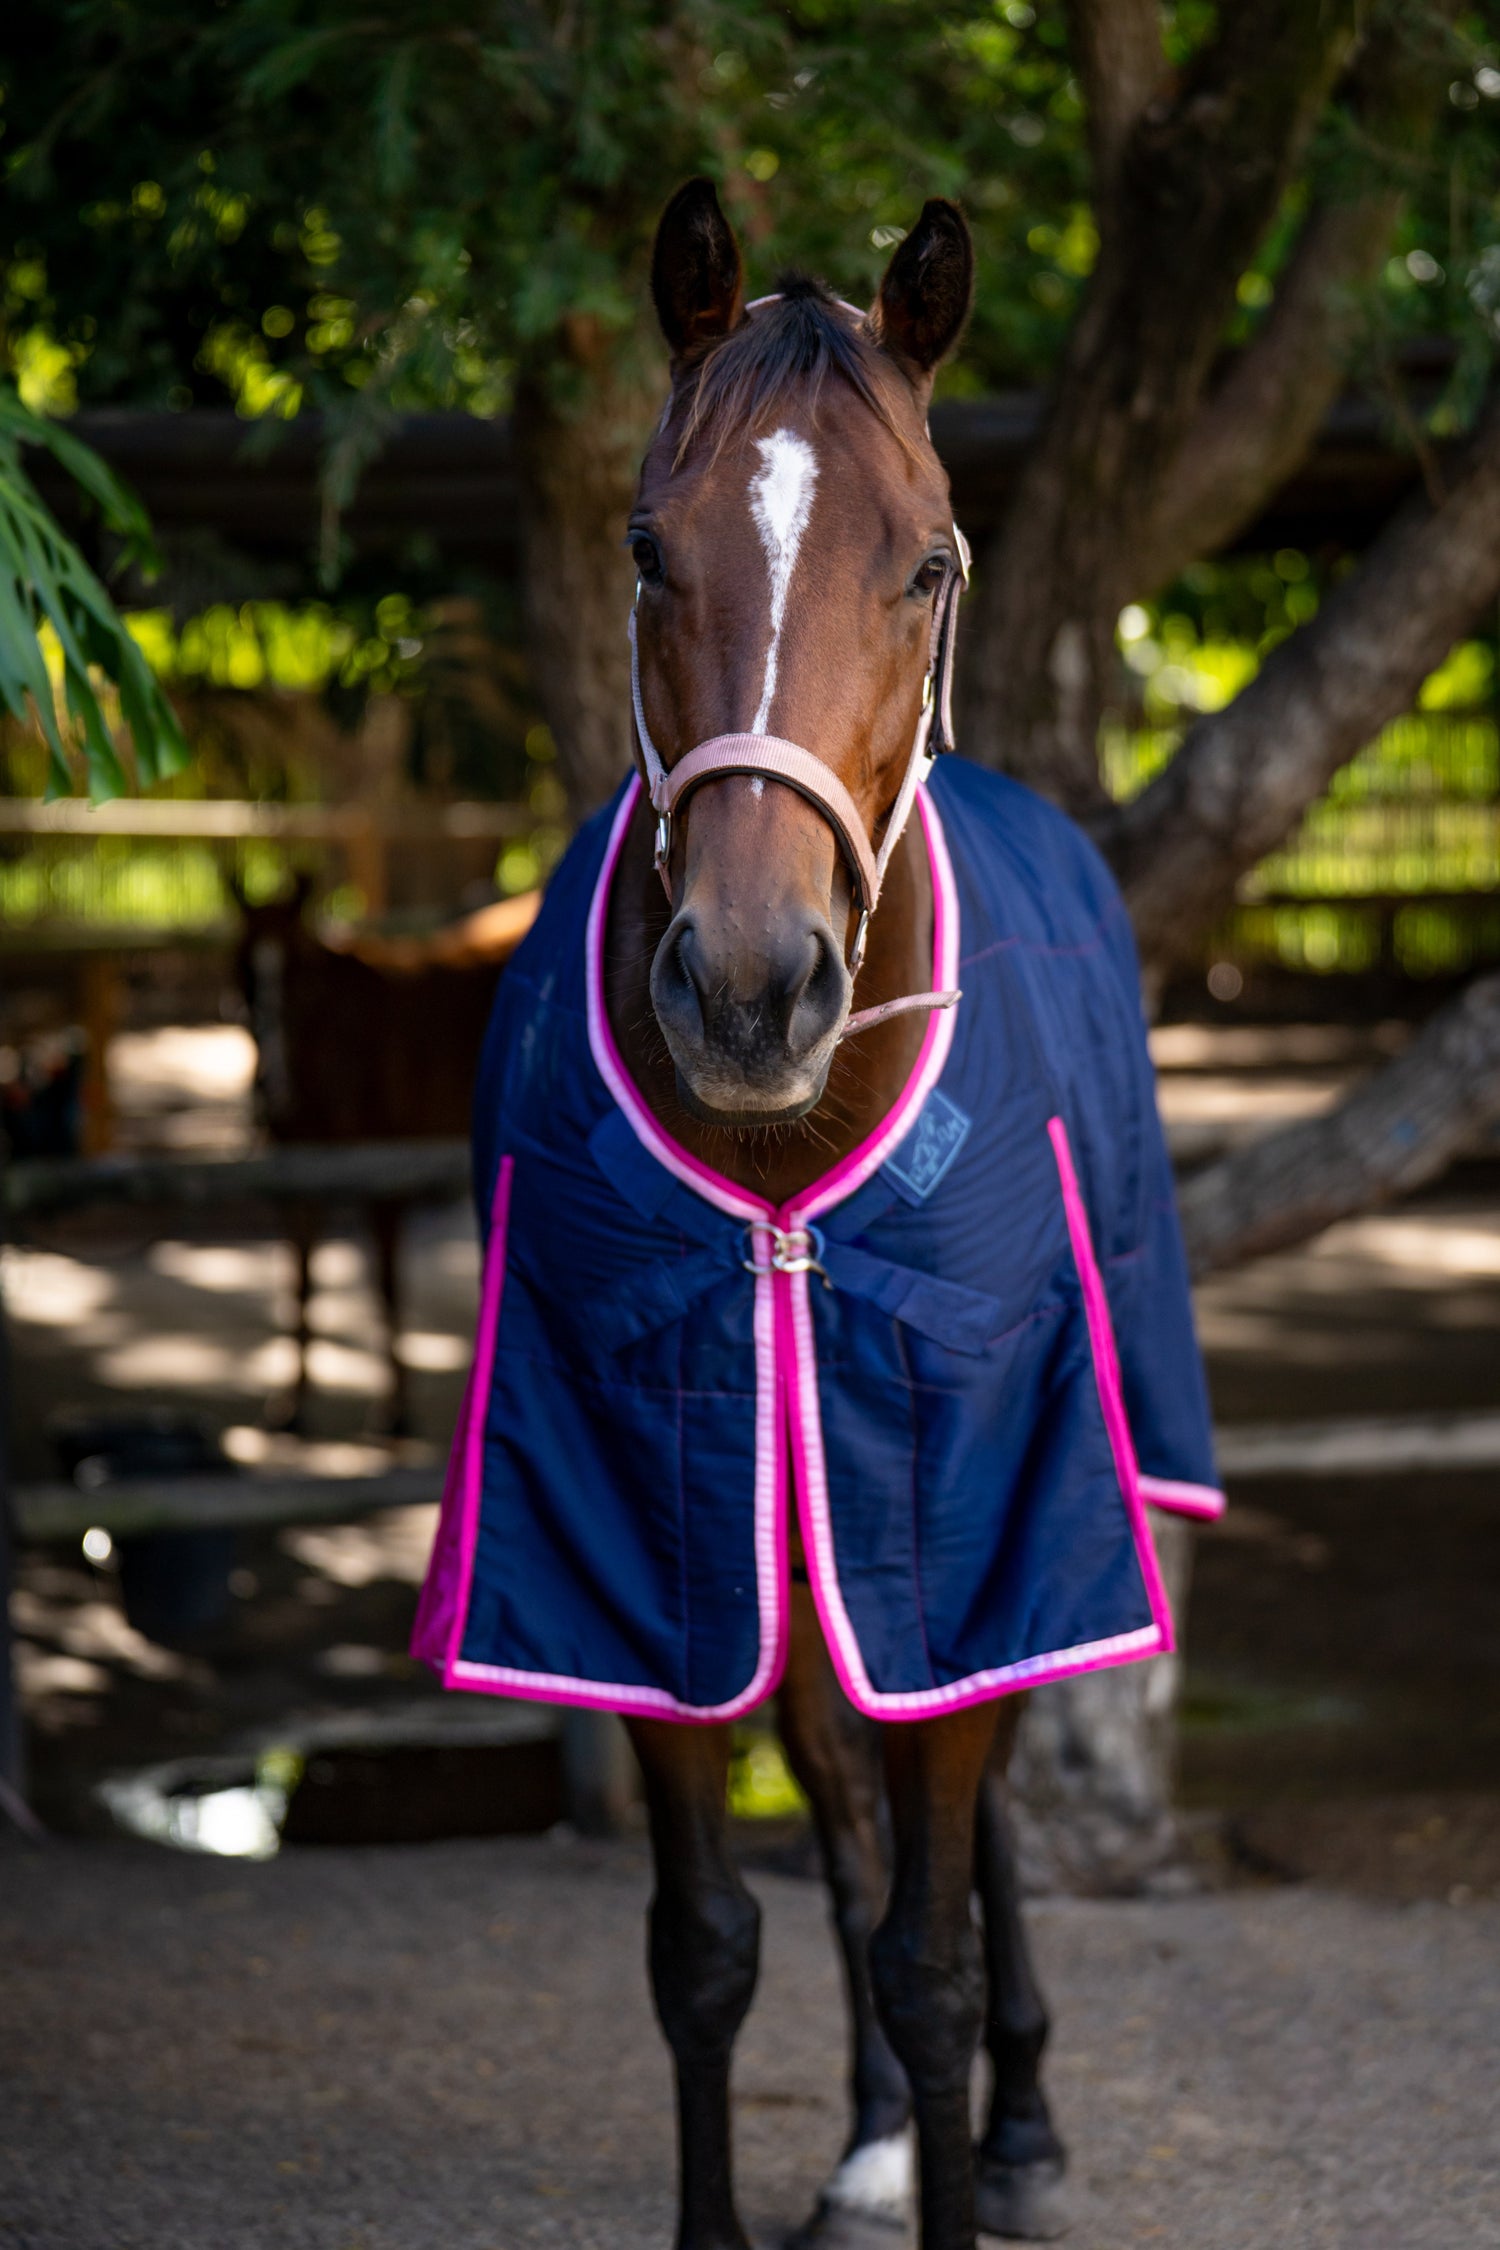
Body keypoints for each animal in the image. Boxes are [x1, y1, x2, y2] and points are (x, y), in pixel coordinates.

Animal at [231, 878, 537, 1432]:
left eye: (301, 983)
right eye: (241, 973)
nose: (269, 1092)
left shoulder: (384, 1181)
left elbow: (386, 1286)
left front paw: (394, 1408)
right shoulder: (297, 1185)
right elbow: (300, 1283)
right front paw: (293, 1400)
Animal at [413, 181, 1222, 2250]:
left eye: (928, 563)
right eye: (646, 546)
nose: (750, 989)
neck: (786, 1179)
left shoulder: (972, 1492)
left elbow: (933, 1938)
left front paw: (975, 2125)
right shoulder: (646, 1531)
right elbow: (709, 1945)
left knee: (963, 1824)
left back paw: (1012, 2131)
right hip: (795, 1539)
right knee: (846, 1819)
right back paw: (869, 2145)